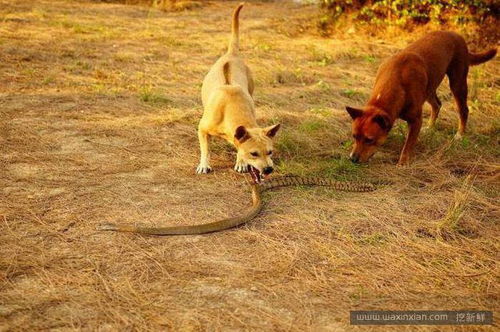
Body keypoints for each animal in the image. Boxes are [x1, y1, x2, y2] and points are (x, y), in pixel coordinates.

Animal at [196, 3, 282, 183]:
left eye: (270, 151)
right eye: (254, 153)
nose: (269, 169)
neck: (231, 108)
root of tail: (231, 54)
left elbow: (238, 148)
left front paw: (241, 162)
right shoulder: (202, 129)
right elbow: (205, 149)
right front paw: (204, 165)